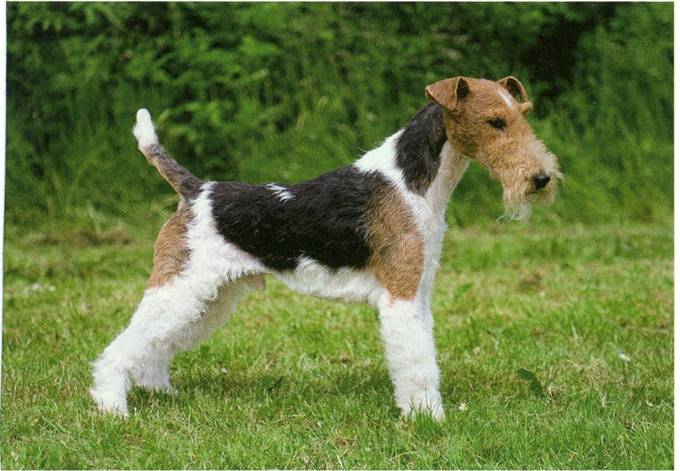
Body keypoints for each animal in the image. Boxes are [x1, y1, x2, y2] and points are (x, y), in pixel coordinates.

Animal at [90, 76, 560, 420]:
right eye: (494, 121)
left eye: (523, 115)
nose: (540, 178)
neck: (413, 183)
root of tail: (196, 190)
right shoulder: (401, 295)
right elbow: (415, 362)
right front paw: (426, 418)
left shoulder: (418, 291)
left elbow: (425, 353)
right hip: (181, 285)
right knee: (121, 347)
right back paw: (113, 407)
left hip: (210, 296)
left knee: (155, 343)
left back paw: (159, 390)